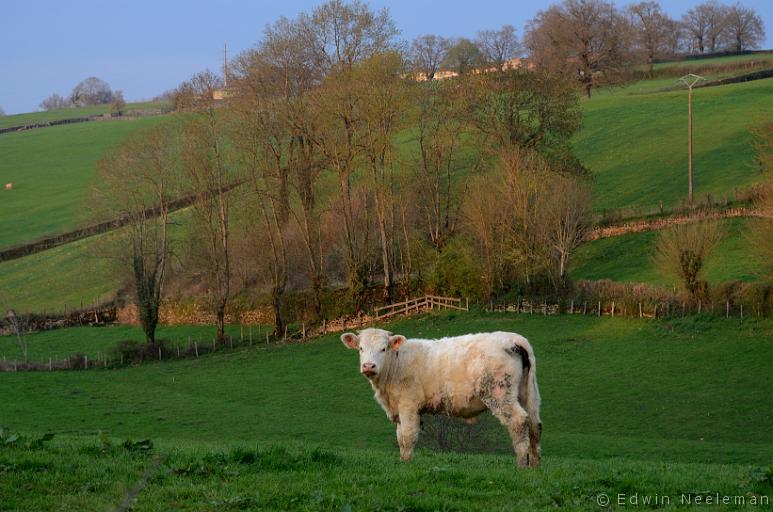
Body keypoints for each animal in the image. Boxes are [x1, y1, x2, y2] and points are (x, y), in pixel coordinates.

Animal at [340, 328, 540, 468]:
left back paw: (521, 466)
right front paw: (402, 461)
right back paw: (534, 466)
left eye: (383, 349)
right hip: (528, 393)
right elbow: (400, 438)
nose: (368, 366)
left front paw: (406, 464)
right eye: (361, 348)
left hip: (499, 393)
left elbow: (408, 437)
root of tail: (513, 338)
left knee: (519, 422)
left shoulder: (408, 405)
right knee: (535, 426)